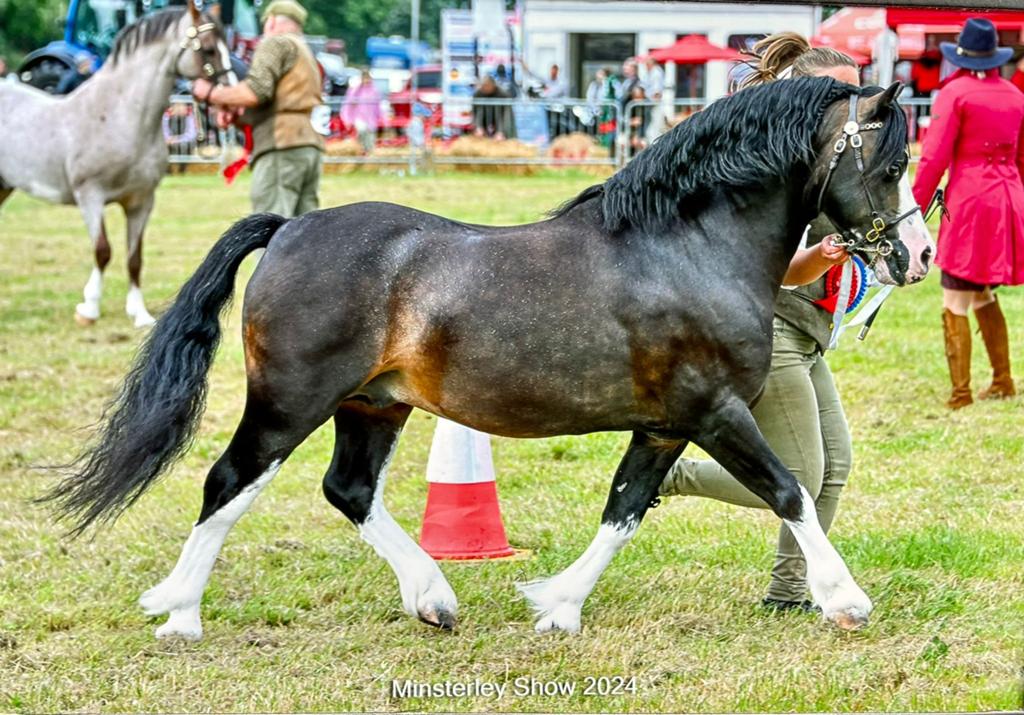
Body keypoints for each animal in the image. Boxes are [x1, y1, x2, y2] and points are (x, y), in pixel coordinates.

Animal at [0, 6, 235, 328]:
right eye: (209, 48)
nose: (231, 94)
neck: (118, 115)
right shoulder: (90, 197)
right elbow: (103, 251)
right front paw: (88, 308)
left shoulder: (141, 201)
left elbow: (135, 259)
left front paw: (139, 313)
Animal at [44, 77, 934, 641]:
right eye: (892, 164)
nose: (918, 256)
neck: (686, 246)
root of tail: (290, 226)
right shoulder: (714, 411)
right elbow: (790, 491)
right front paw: (846, 600)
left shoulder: (664, 426)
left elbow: (624, 507)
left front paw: (558, 606)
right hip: (288, 401)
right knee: (228, 483)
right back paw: (181, 612)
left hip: (373, 404)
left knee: (349, 489)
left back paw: (433, 599)